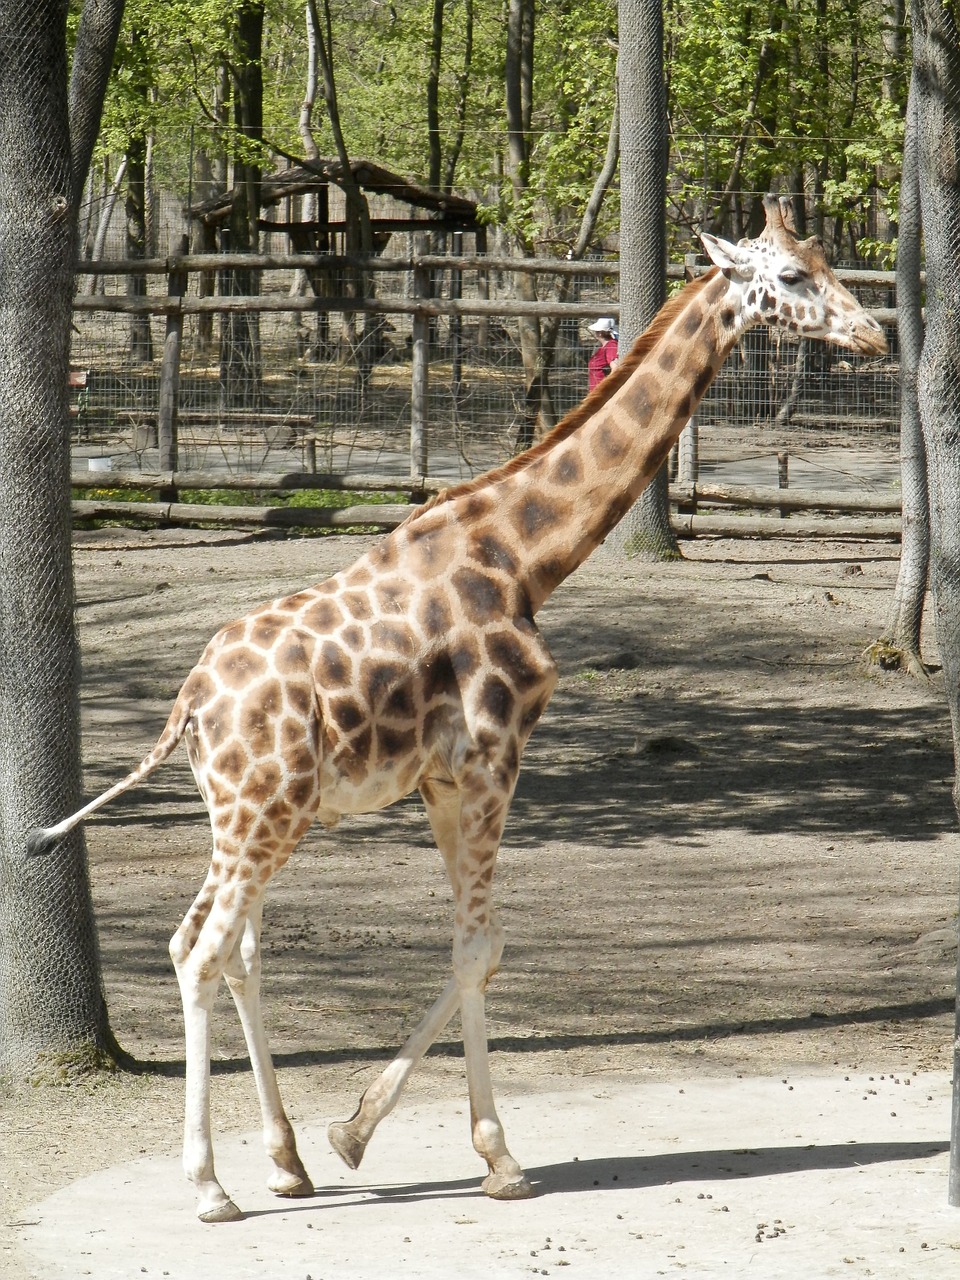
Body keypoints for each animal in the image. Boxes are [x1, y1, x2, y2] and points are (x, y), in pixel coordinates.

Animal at [28, 192, 885, 1218]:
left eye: (828, 262)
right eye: (792, 277)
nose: (876, 334)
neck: (526, 557)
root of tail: (189, 704)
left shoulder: (443, 782)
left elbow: (479, 946)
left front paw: (348, 1135)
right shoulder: (490, 761)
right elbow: (480, 949)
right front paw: (489, 1156)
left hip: (251, 813)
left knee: (225, 948)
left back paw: (283, 1162)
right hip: (263, 810)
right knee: (202, 950)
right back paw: (210, 1186)